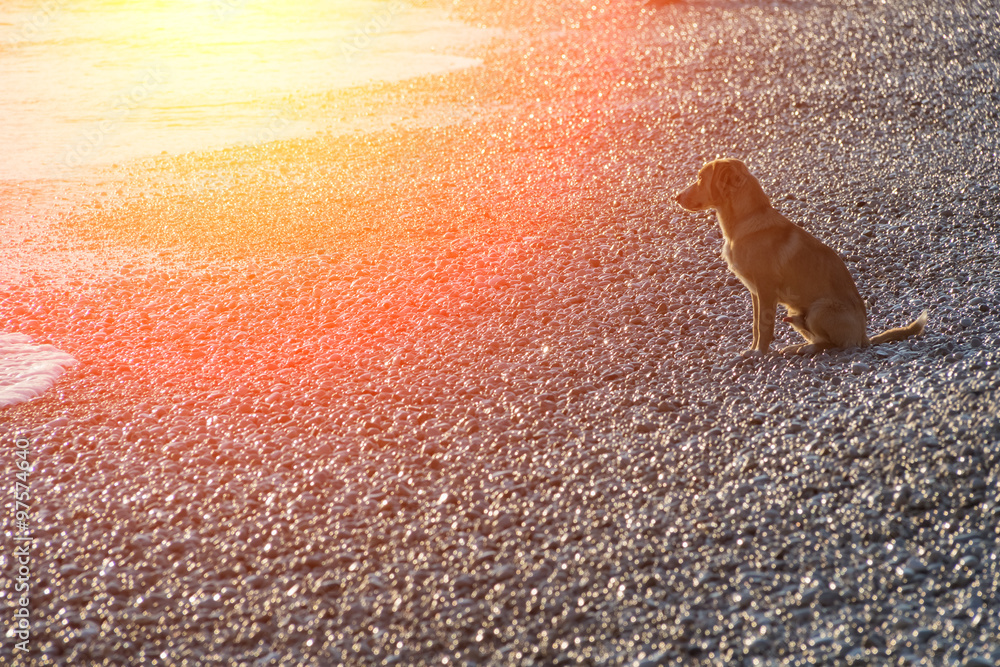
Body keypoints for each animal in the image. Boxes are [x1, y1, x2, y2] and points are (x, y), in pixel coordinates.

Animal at [676, 158, 924, 354]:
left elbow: (764, 326)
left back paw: (807, 348)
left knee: (835, 344)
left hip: (818, 310)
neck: (747, 218)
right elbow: (755, 326)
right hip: (794, 312)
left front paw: (759, 354)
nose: (676, 197)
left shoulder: (766, 289)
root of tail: (864, 336)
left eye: (700, 178)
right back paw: (799, 347)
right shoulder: (756, 293)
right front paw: (753, 349)